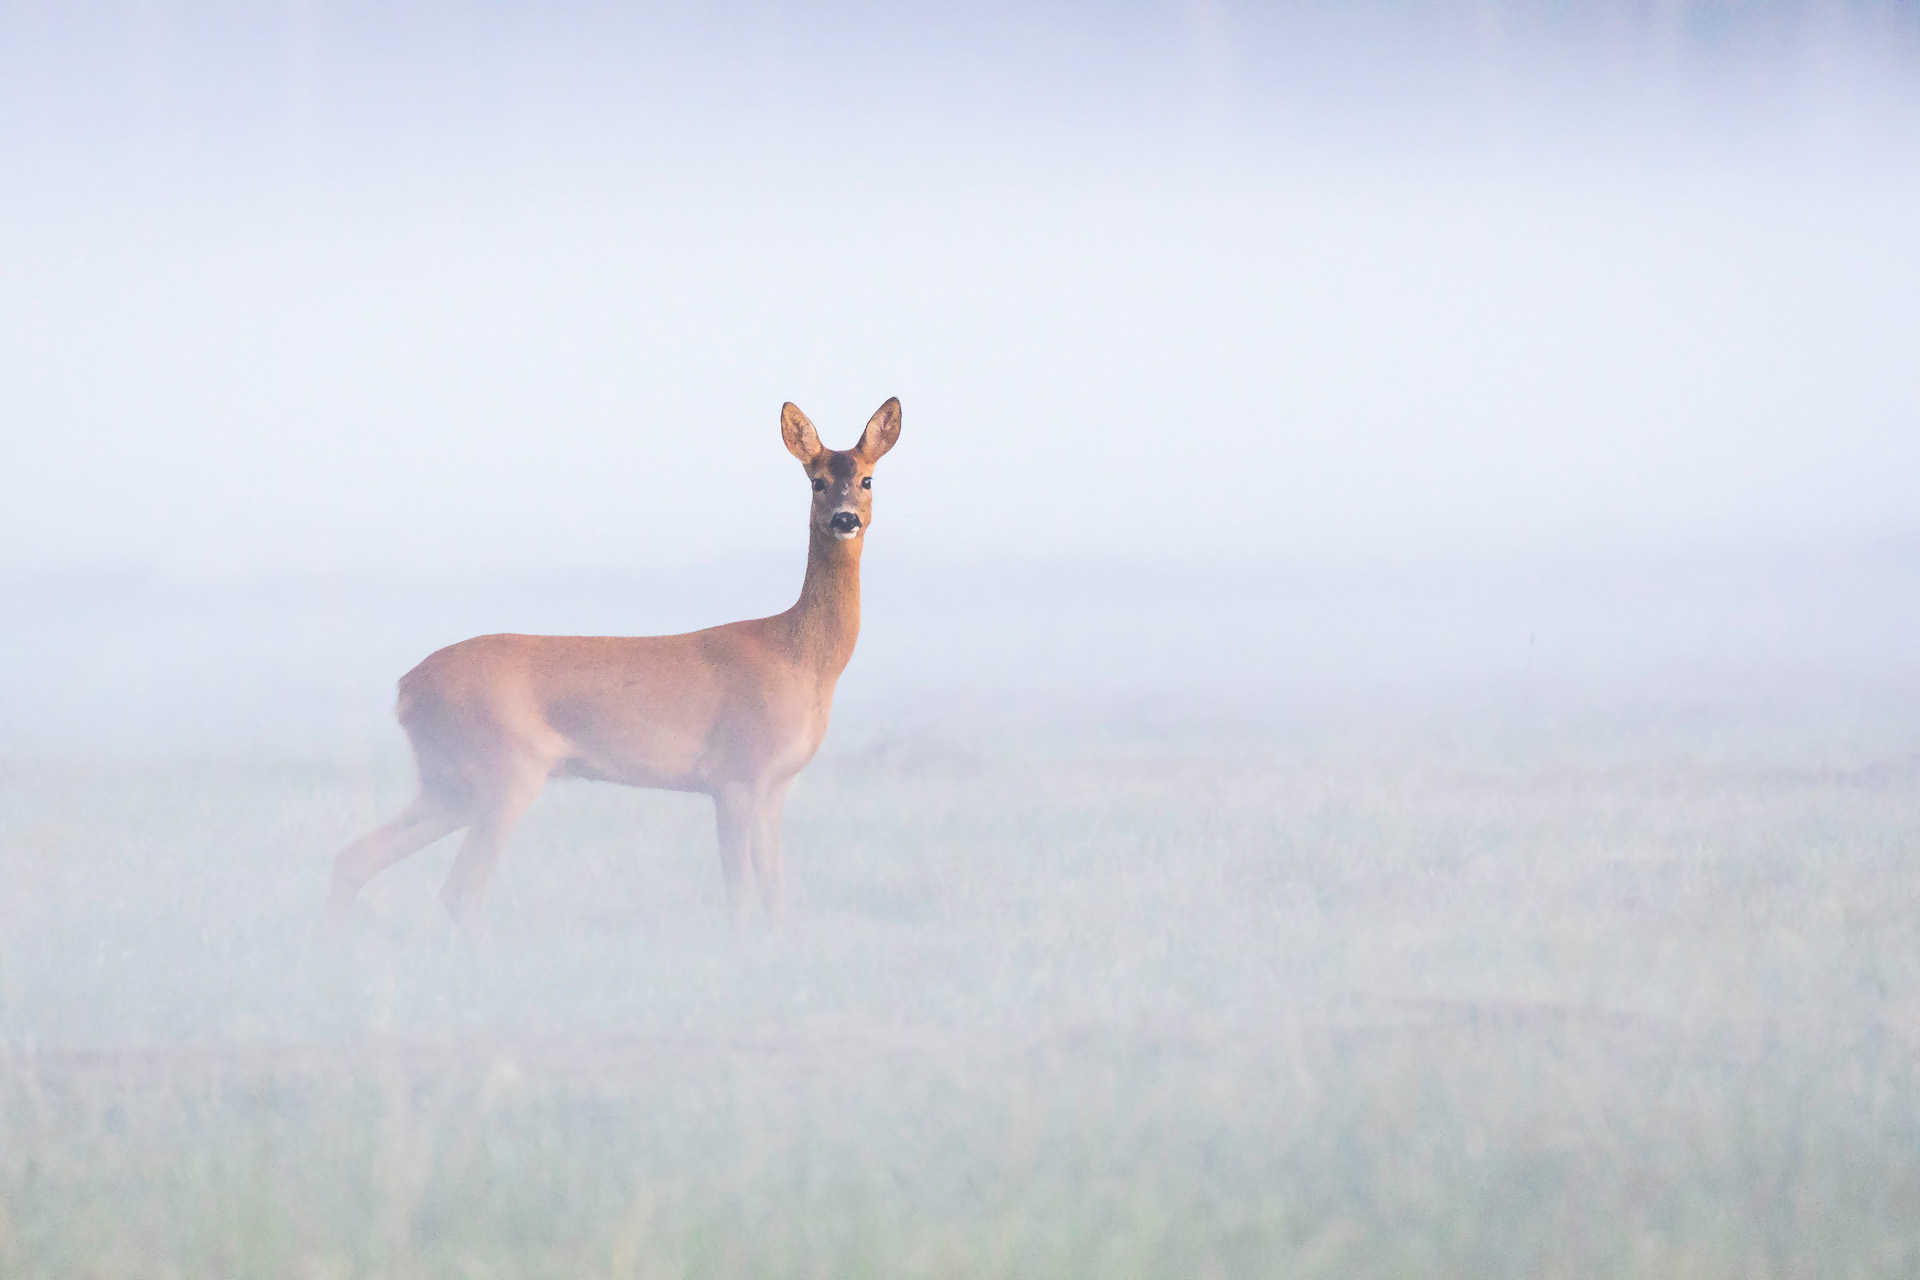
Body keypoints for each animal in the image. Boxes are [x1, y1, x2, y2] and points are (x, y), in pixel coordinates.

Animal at [326, 401, 902, 932]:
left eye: (868, 478)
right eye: (817, 481)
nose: (845, 519)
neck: (800, 657)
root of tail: (405, 689)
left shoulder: (775, 786)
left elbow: (774, 897)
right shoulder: (735, 776)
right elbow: (738, 897)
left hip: (449, 783)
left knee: (355, 858)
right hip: (504, 771)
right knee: (458, 888)